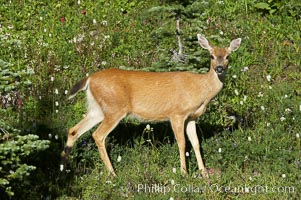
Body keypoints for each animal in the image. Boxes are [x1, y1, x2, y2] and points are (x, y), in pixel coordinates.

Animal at [61, 34, 241, 178]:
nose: (219, 69)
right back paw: (113, 174)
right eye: (211, 56)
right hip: (114, 109)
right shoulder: (176, 113)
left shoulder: (191, 117)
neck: (201, 90)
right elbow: (182, 143)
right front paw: (184, 173)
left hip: (97, 109)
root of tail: (89, 79)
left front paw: (204, 173)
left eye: (228, 56)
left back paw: (64, 169)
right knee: (98, 135)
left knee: (74, 130)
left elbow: (196, 143)